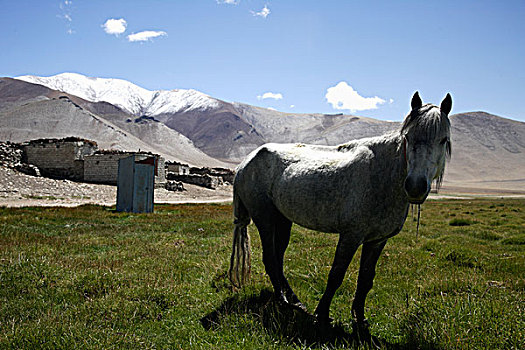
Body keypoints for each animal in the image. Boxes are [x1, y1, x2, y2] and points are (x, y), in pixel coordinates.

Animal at [227, 91, 452, 332]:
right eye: (408, 137)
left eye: (443, 140)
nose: (415, 186)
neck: (382, 176)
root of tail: (245, 163)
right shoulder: (351, 236)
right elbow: (336, 274)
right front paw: (322, 315)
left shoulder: (377, 240)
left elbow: (366, 279)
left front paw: (360, 319)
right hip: (265, 219)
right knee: (270, 258)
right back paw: (283, 300)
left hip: (283, 220)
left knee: (278, 258)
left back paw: (294, 299)